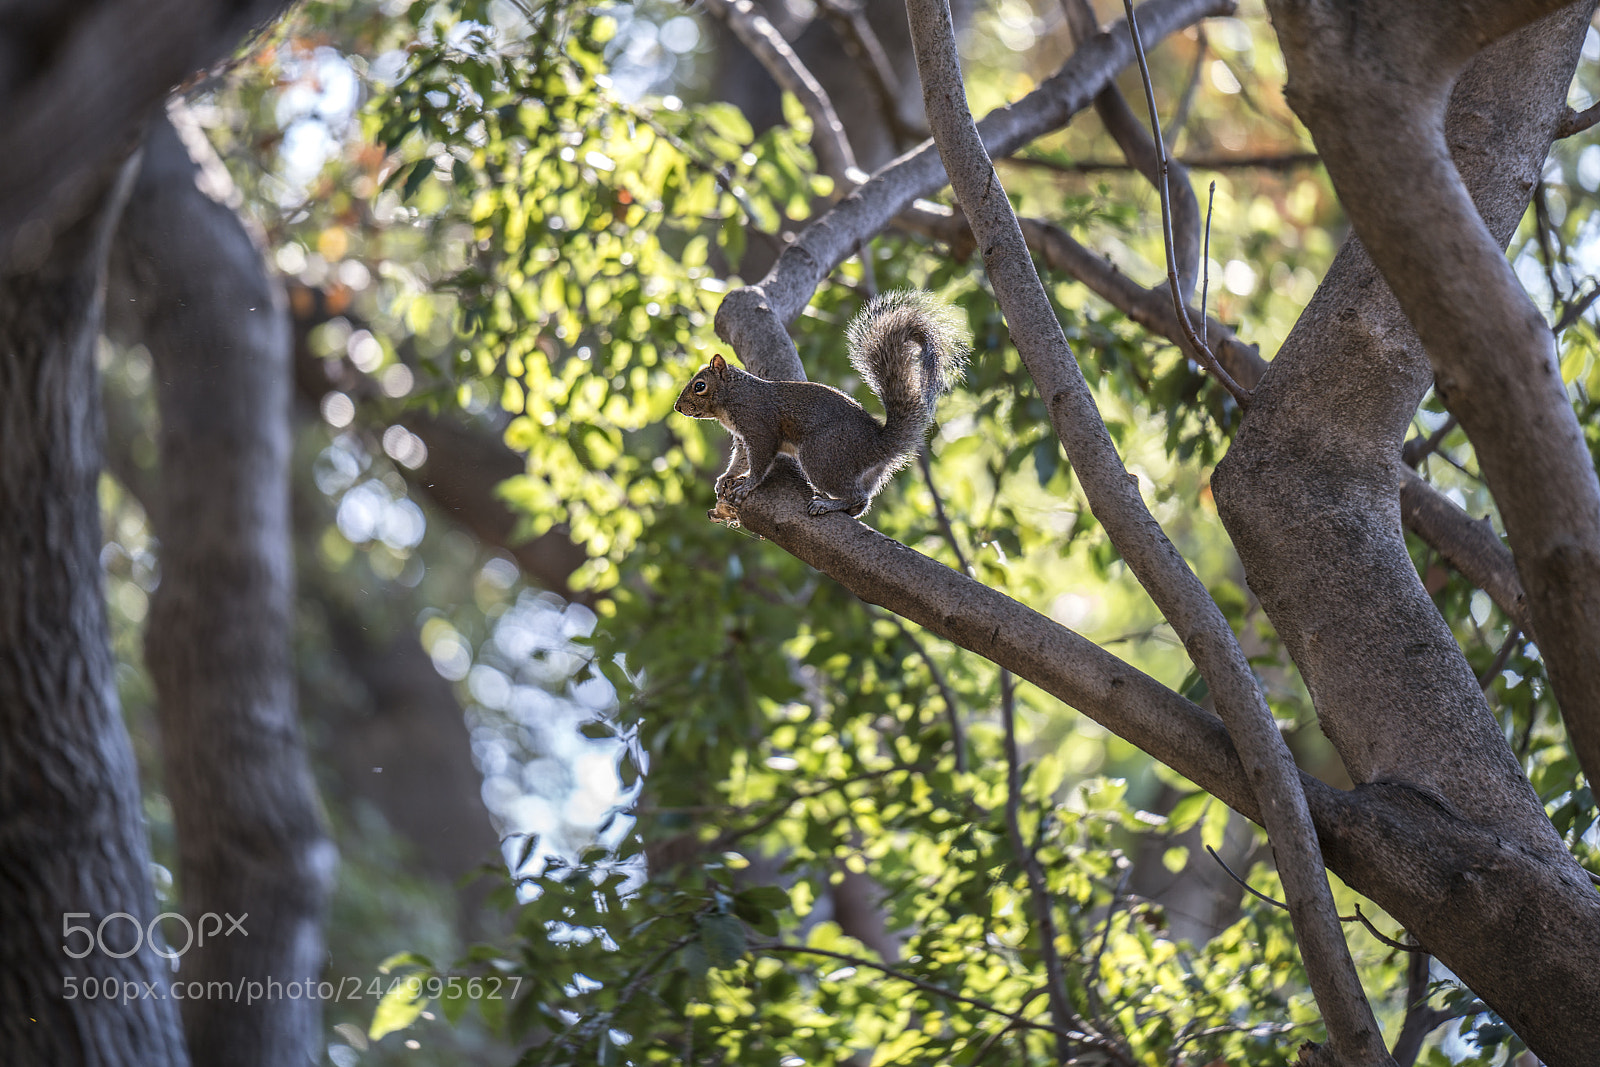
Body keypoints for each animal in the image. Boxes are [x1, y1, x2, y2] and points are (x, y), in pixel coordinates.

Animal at [674, 291, 968, 518]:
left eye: (699, 386)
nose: (677, 408)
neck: (733, 396)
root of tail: (878, 445)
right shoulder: (743, 437)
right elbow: (741, 459)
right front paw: (726, 477)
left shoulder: (758, 426)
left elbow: (759, 460)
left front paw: (748, 485)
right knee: (863, 500)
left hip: (821, 455)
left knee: (855, 495)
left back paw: (827, 504)